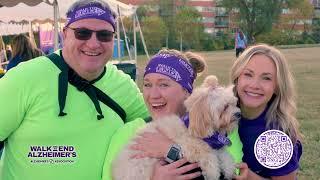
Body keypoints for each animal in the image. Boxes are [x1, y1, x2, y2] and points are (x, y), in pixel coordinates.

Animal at [112, 75, 240, 179]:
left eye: (234, 104)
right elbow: (209, 158)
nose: (238, 114)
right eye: (225, 107)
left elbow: (225, 155)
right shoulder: (192, 147)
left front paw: (229, 169)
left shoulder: (217, 148)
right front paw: (213, 173)